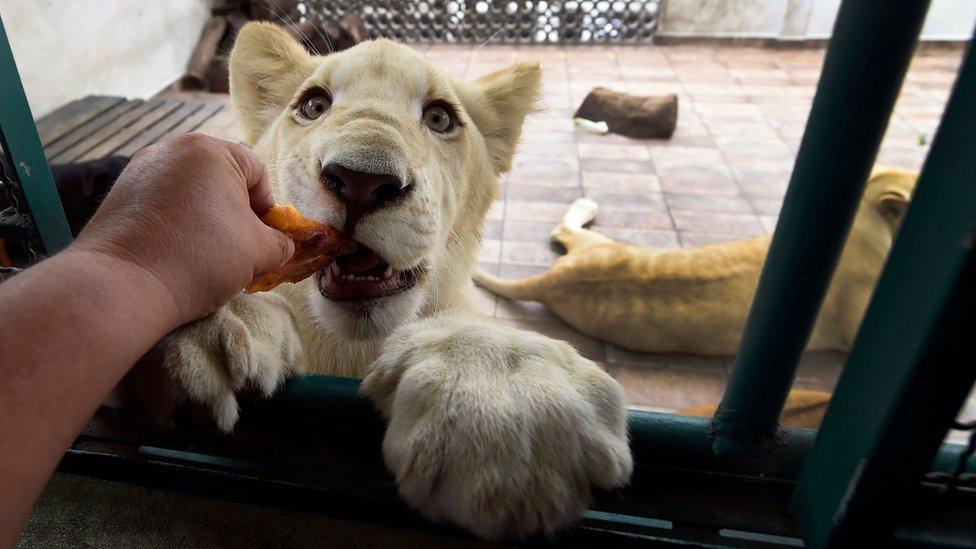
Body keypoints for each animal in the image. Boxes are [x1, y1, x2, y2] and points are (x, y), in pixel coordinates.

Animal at [126, 22, 632, 540]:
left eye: (439, 118)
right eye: (314, 106)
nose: (361, 181)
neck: (350, 349)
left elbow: (475, 332)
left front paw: (505, 410)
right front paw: (207, 332)